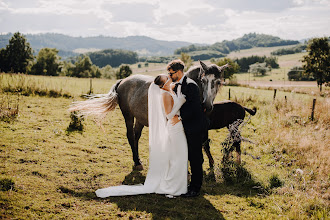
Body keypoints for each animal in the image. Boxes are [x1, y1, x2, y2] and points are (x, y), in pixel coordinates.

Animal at [69, 60, 229, 170]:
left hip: (140, 119)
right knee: (130, 135)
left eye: (218, 82)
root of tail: (124, 80)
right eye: (203, 80)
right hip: (128, 116)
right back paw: (137, 162)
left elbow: (203, 143)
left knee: (136, 136)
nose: (207, 105)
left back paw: (138, 160)